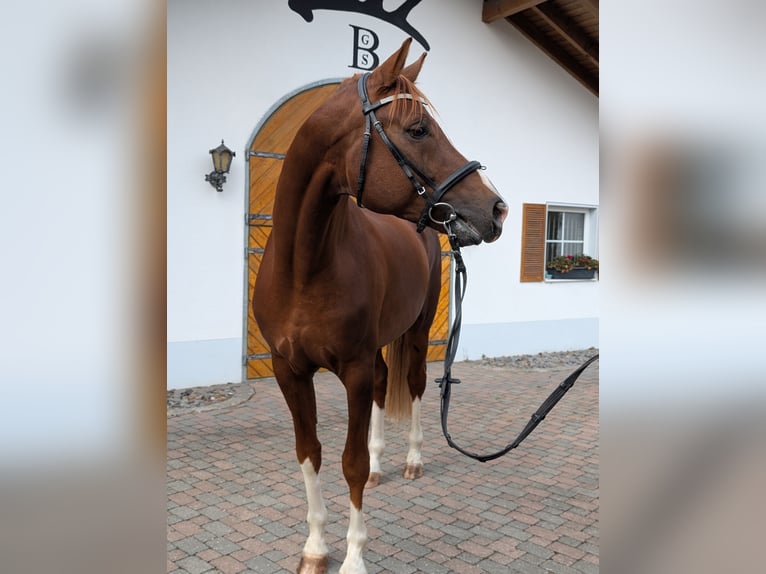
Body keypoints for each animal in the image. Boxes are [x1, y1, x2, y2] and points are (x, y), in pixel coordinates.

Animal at [253, 38, 507, 574]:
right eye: (418, 129)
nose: (496, 209)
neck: (305, 266)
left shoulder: (351, 367)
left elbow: (348, 464)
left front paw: (353, 558)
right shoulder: (289, 371)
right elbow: (310, 453)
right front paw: (316, 548)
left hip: (415, 334)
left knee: (413, 385)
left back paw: (411, 460)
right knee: (382, 388)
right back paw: (380, 465)